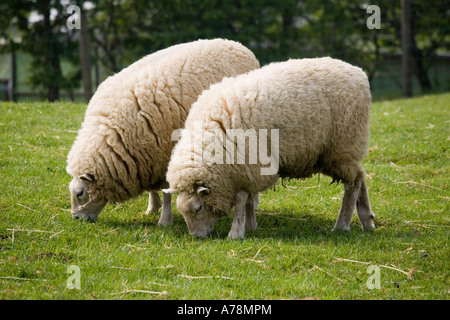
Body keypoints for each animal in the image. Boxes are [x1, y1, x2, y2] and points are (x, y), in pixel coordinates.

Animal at [65, 38, 258, 222]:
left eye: (80, 194)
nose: (76, 218)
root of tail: (238, 46)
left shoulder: (163, 155)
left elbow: (166, 190)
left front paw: (165, 218)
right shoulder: (147, 159)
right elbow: (153, 189)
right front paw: (152, 208)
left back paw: (254, 203)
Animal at [163, 57, 374, 239]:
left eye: (197, 208)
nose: (197, 237)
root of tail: (358, 72)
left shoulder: (247, 165)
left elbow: (241, 201)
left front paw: (237, 232)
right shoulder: (245, 170)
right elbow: (248, 200)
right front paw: (250, 225)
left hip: (343, 147)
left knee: (353, 184)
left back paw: (342, 225)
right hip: (343, 152)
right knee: (361, 177)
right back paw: (367, 221)